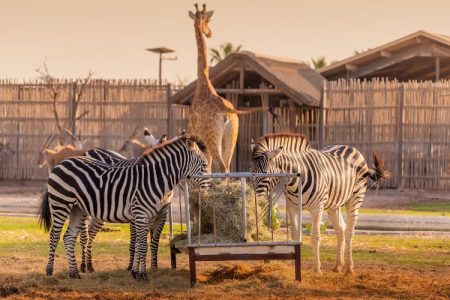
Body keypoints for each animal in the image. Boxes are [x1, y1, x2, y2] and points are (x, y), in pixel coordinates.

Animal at [38, 135, 209, 280]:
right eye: (204, 165)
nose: (210, 187)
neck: (154, 181)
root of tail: (61, 163)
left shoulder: (152, 215)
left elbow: (143, 244)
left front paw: (137, 273)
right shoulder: (140, 214)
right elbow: (142, 246)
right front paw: (143, 276)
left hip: (77, 209)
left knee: (69, 237)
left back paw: (74, 273)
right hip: (61, 203)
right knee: (55, 236)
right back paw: (50, 271)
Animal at [188, 4, 272, 173]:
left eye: (209, 19)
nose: (209, 33)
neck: (203, 82)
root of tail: (227, 112)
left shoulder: (196, 133)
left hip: (212, 138)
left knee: (220, 167)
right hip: (231, 136)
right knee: (226, 167)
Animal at [248, 133, 388, 274]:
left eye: (265, 174)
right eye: (249, 171)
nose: (253, 200)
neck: (296, 180)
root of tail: (349, 147)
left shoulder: (317, 208)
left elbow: (315, 236)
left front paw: (317, 269)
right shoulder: (292, 207)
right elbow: (295, 235)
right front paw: (296, 267)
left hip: (355, 199)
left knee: (349, 231)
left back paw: (349, 268)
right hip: (333, 205)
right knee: (341, 230)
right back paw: (338, 265)